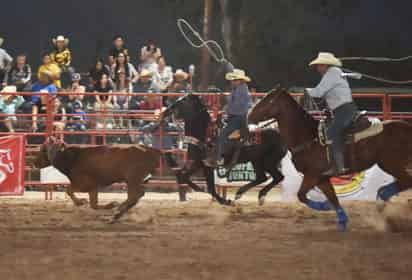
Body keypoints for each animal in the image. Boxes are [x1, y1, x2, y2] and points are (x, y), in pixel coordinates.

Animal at [249, 87, 412, 230]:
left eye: (268, 100)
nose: (249, 115)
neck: (309, 137)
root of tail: (406, 128)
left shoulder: (312, 175)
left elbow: (301, 195)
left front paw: (324, 206)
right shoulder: (322, 178)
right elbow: (332, 198)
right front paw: (342, 221)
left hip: (391, 163)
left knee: (406, 181)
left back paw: (382, 199)